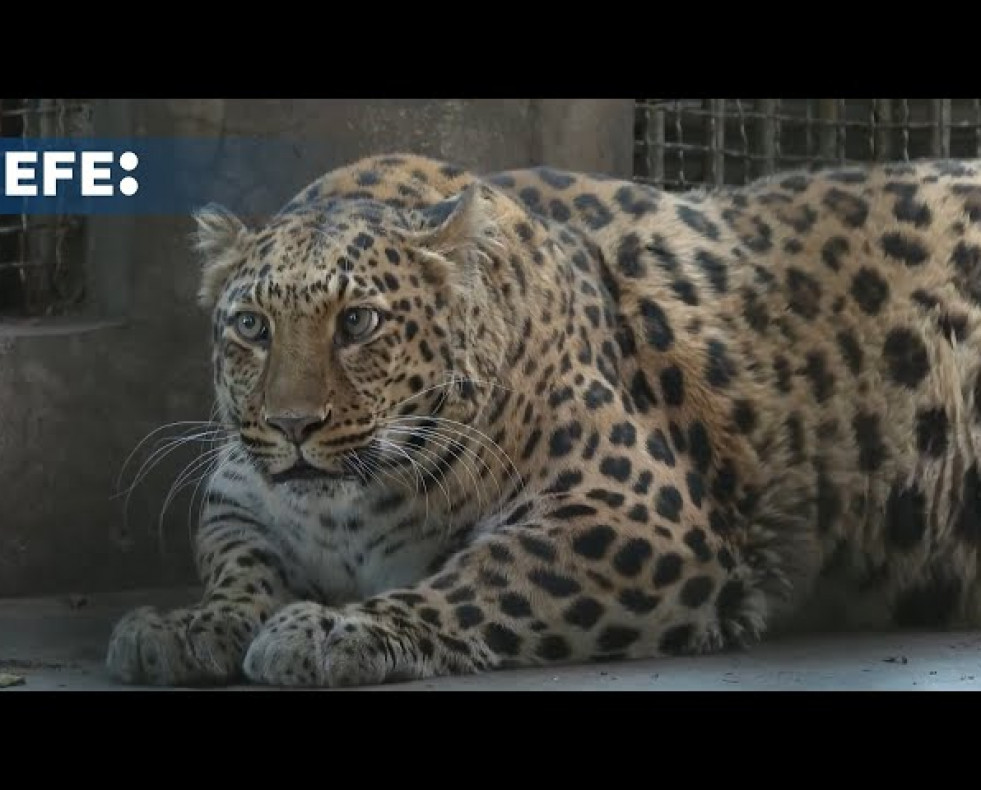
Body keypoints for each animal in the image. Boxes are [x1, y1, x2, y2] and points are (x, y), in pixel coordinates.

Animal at [105, 153, 981, 688]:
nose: (291, 425)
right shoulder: (238, 502)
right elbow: (240, 563)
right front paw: (188, 624)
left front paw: (328, 631)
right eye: (252, 327)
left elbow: (481, 578)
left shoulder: (636, 515)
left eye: (358, 322)